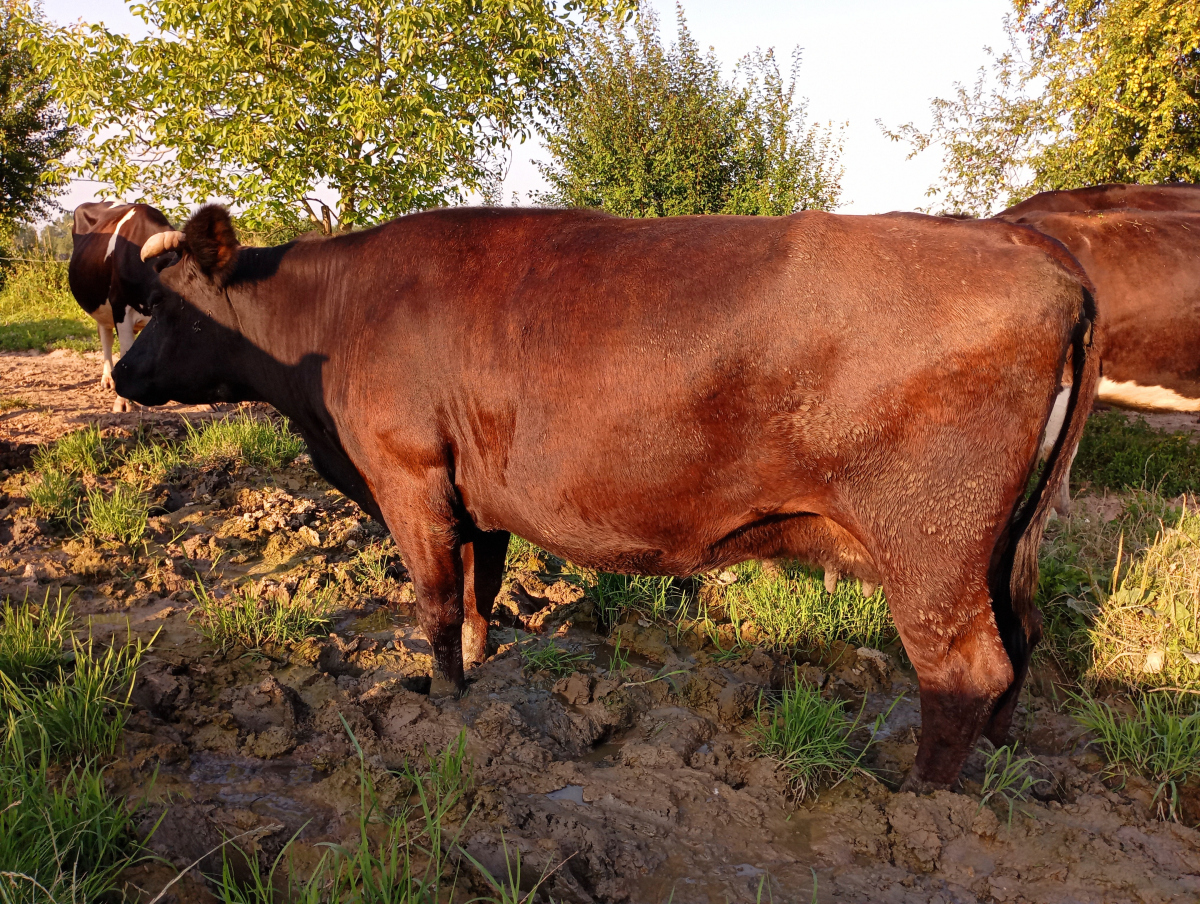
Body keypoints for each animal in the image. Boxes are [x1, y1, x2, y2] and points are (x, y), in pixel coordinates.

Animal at [69, 201, 178, 412]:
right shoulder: (120, 308)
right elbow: (126, 351)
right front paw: (125, 401)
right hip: (102, 308)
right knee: (106, 338)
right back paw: (107, 379)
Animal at [114, 202, 1099, 782]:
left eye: (164, 308)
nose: (121, 374)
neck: (339, 315)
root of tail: (1032, 247)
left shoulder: (409, 478)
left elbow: (434, 601)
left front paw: (441, 704)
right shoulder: (476, 493)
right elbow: (480, 586)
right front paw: (483, 667)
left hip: (930, 543)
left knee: (965, 666)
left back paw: (920, 793)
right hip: (1000, 544)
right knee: (1021, 639)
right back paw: (997, 758)